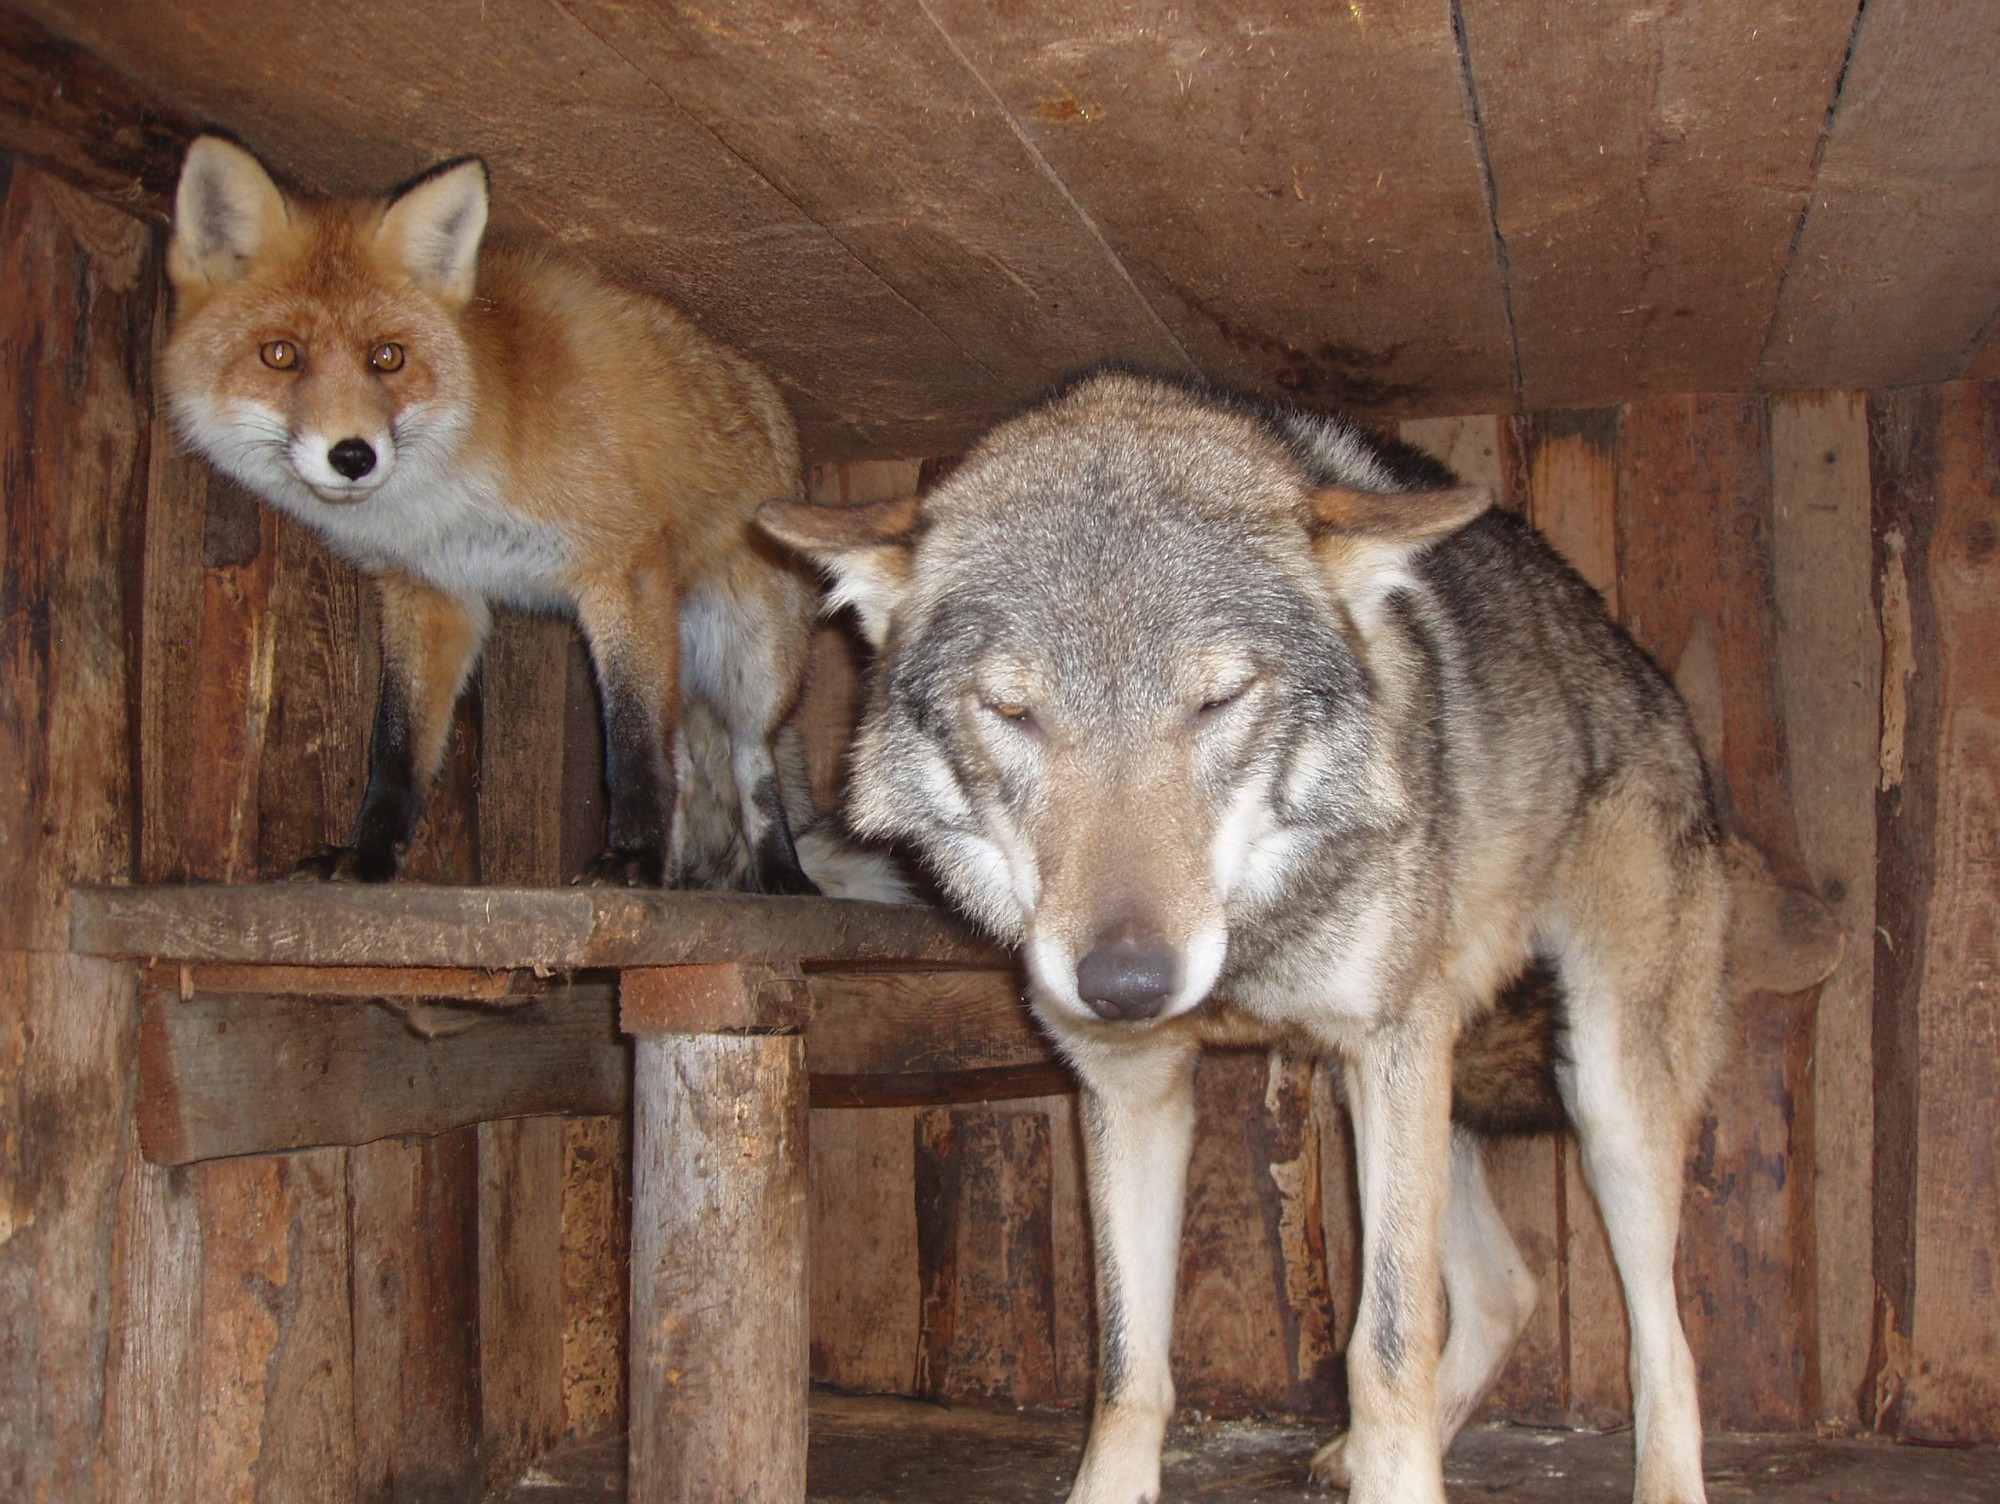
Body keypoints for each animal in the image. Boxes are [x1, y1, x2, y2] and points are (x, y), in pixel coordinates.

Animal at [162, 135, 820, 888]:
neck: (444, 494)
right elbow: (395, 750)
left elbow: (632, 747)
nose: (354, 456)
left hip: (753, 654)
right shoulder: (431, 593)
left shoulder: (623, 566)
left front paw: (629, 857)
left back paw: (779, 876)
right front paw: (367, 855)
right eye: (280, 355)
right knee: (684, 763)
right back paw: (676, 877)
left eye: (387, 357)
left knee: (750, 761)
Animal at [756, 368, 1728, 1504]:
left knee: (1664, 1340)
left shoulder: (1389, 1050)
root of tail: (1643, 673)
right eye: (1011, 710)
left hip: (1596, 1094)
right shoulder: (1132, 1089)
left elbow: (1385, 1342)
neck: (1253, 945)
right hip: (1394, 1088)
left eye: (1216, 699)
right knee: (1508, 1290)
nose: (1125, 984)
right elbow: (1127, 1363)